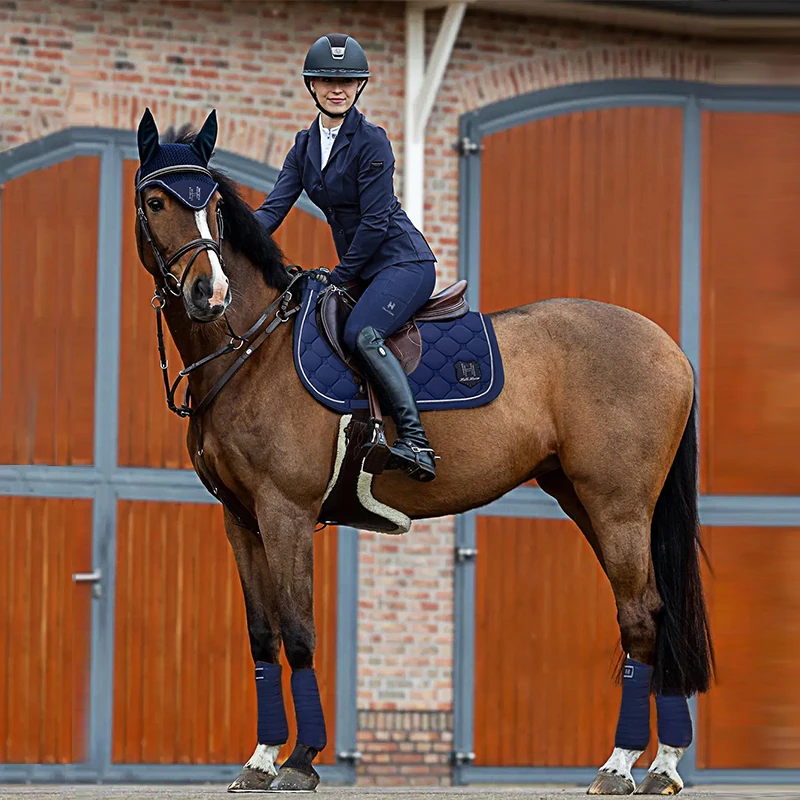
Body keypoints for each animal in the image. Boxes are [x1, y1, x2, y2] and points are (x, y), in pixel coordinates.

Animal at [132, 110, 713, 796]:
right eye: (156, 201)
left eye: (216, 206)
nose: (209, 293)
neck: (252, 347)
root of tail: (668, 346)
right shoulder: (241, 520)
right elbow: (262, 637)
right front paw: (262, 757)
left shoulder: (285, 514)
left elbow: (298, 632)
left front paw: (301, 760)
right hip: (589, 503)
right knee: (655, 613)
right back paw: (664, 765)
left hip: (618, 507)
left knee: (642, 618)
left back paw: (621, 766)